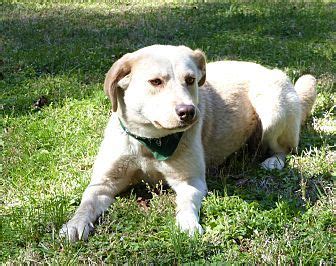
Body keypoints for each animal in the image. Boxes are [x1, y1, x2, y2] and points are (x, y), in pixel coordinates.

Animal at [59, 44, 316, 241]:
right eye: (155, 82)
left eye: (190, 80)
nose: (188, 112)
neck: (150, 143)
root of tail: (273, 71)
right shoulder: (103, 183)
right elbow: (86, 203)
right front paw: (74, 225)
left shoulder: (191, 182)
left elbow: (186, 204)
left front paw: (188, 224)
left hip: (272, 106)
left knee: (285, 148)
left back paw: (273, 161)